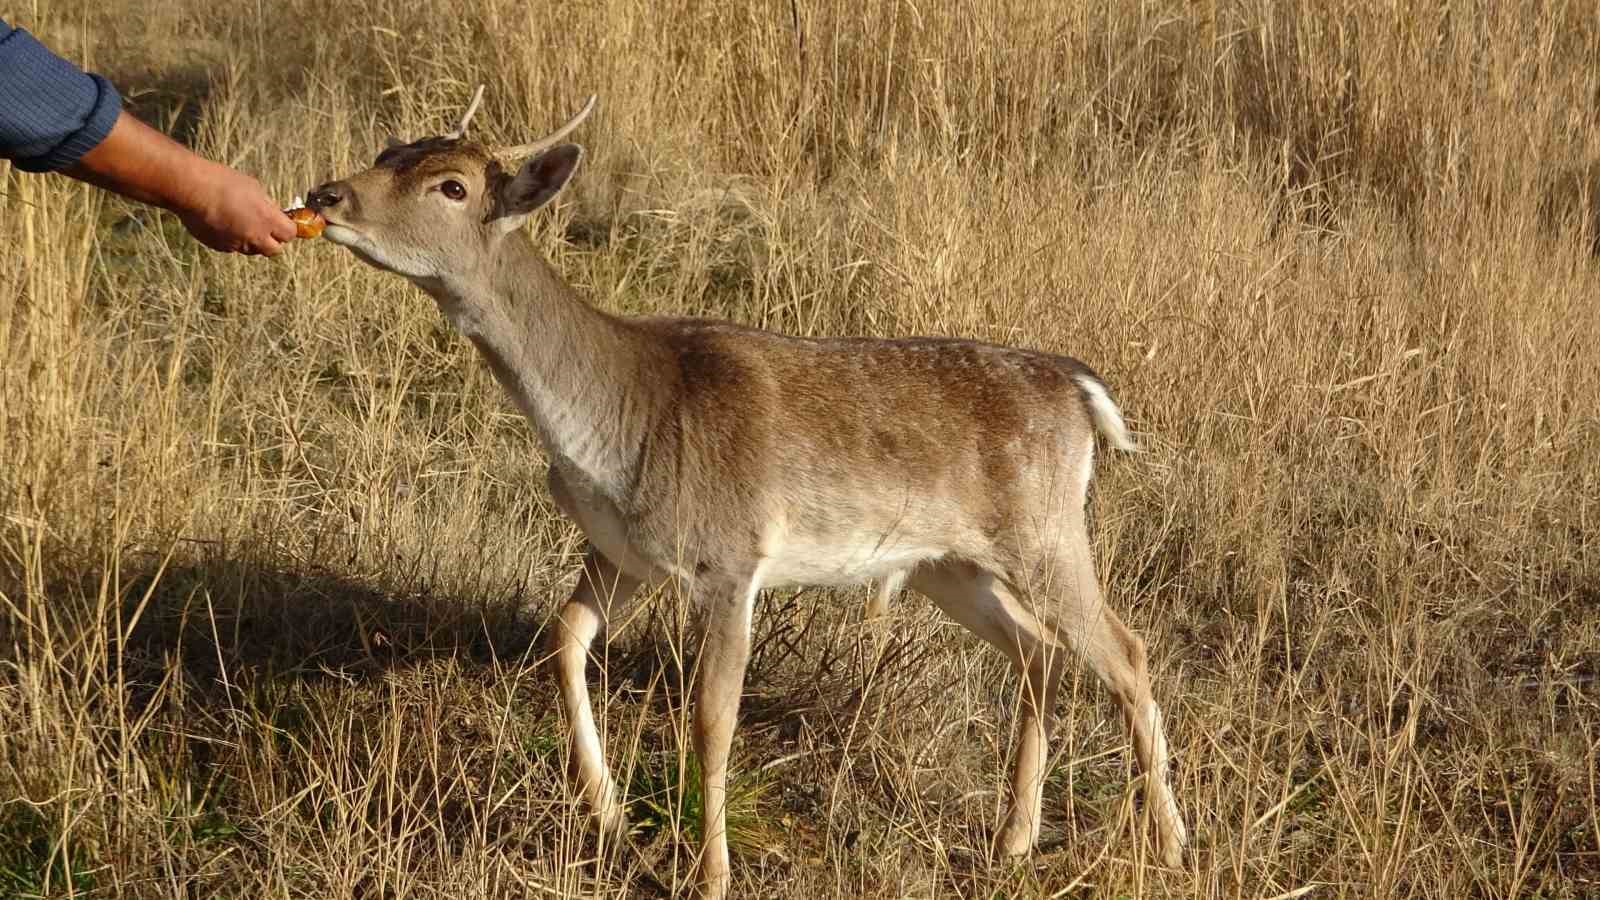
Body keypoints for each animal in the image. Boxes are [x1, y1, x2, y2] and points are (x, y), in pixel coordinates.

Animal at [302, 87, 1190, 890]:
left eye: (451, 185)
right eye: (388, 151)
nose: (325, 195)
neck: (613, 424)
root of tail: (1081, 393)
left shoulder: (728, 557)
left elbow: (711, 717)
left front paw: (711, 873)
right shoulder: (625, 550)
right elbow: (564, 636)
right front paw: (608, 813)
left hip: (1044, 531)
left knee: (1128, 650)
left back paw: (1171, 846)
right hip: (949, 563)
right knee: (1040, 652)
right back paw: (1013, 841)